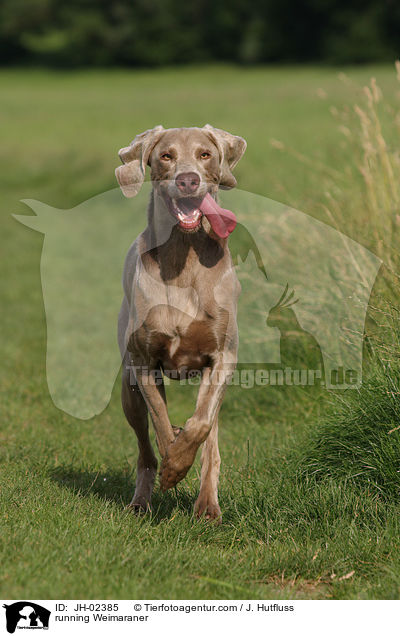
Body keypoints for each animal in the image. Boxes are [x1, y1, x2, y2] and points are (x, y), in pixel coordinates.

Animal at [115, 124, 245, 520]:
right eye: (166, 156)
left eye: (205, 154)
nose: (188, 180)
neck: (184, 257)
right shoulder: (143, 361)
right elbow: (158, 418)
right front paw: (172, 466)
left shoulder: (223, 357)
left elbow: (200, 425)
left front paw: (181, 461)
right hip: (127, 388)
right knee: (144, 448)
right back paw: (141, 501)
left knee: (209, 437)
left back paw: (207, 507)